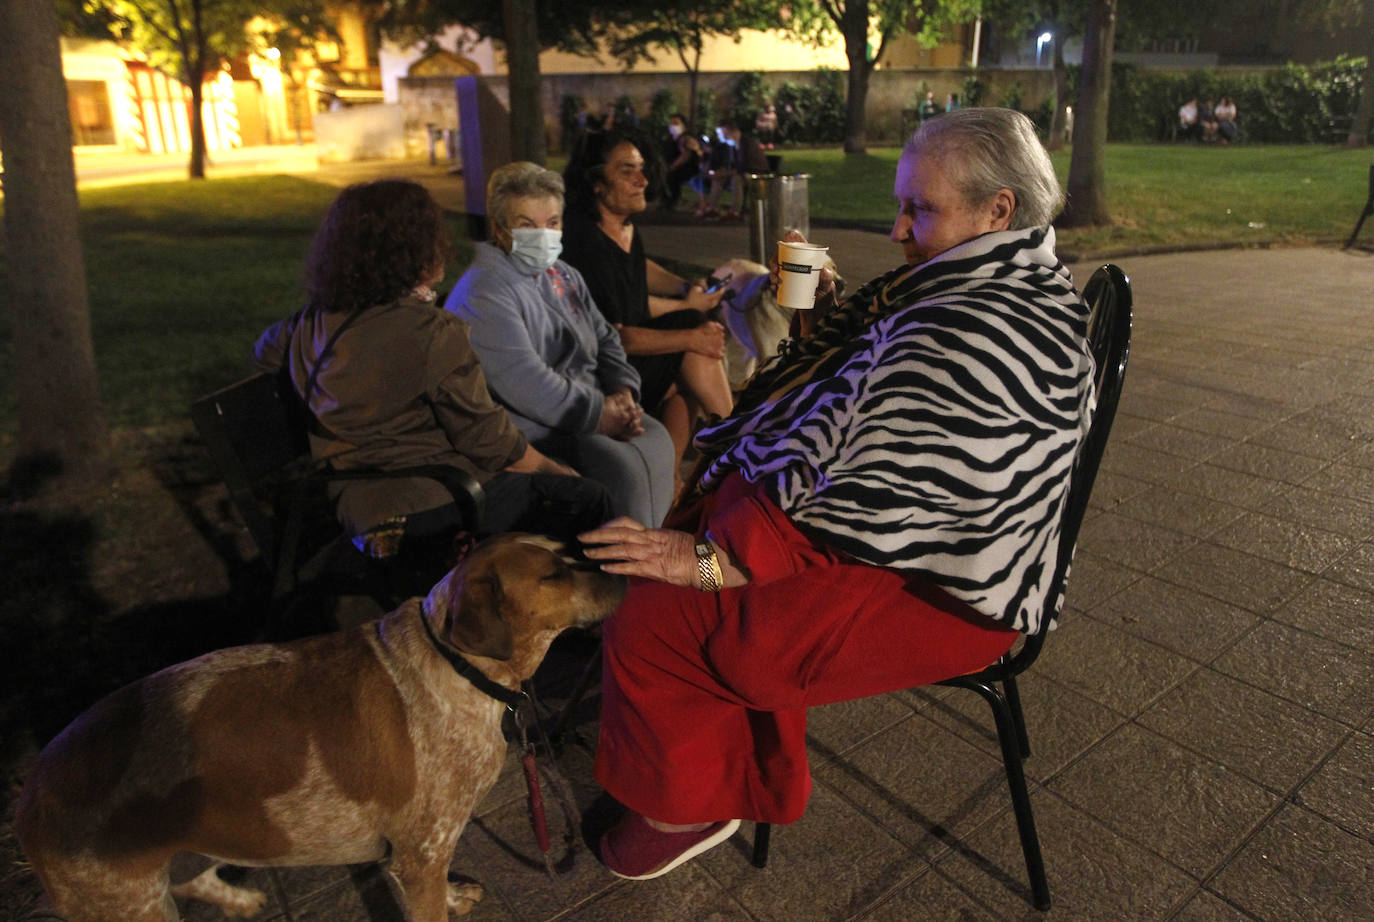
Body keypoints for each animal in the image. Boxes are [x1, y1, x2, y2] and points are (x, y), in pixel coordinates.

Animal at [13, 533, 626, 922]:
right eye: (553, 574)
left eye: (568, 553)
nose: (620, 574)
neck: (454, 664)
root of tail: (31, 788)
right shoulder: (420, 854)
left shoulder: (419, 857)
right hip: (131, 903)